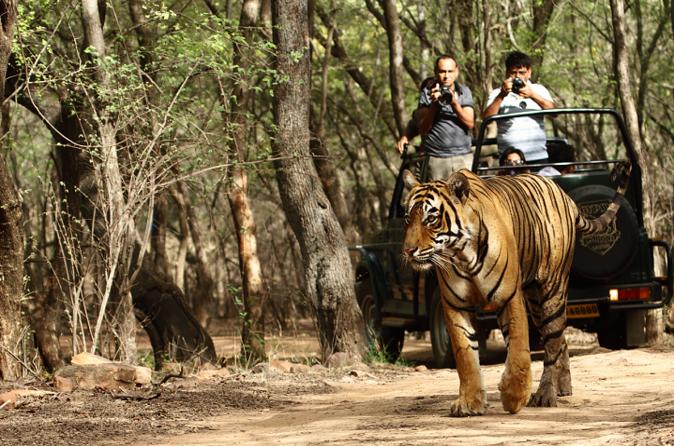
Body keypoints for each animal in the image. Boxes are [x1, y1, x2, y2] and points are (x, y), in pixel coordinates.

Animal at [404, 162, 632, 416]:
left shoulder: (509, 297)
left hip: (552, 290)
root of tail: (564, 195)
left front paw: (514, 396)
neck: (462, 255)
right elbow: (465, 356)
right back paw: (563, 386)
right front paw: (469, 402)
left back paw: (545, 394)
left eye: (431, 218)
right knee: (559, 338)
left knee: (552, 343)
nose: (408, 251)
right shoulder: (455, 305)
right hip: (535, 301)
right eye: (407, 218)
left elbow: (518, 348)